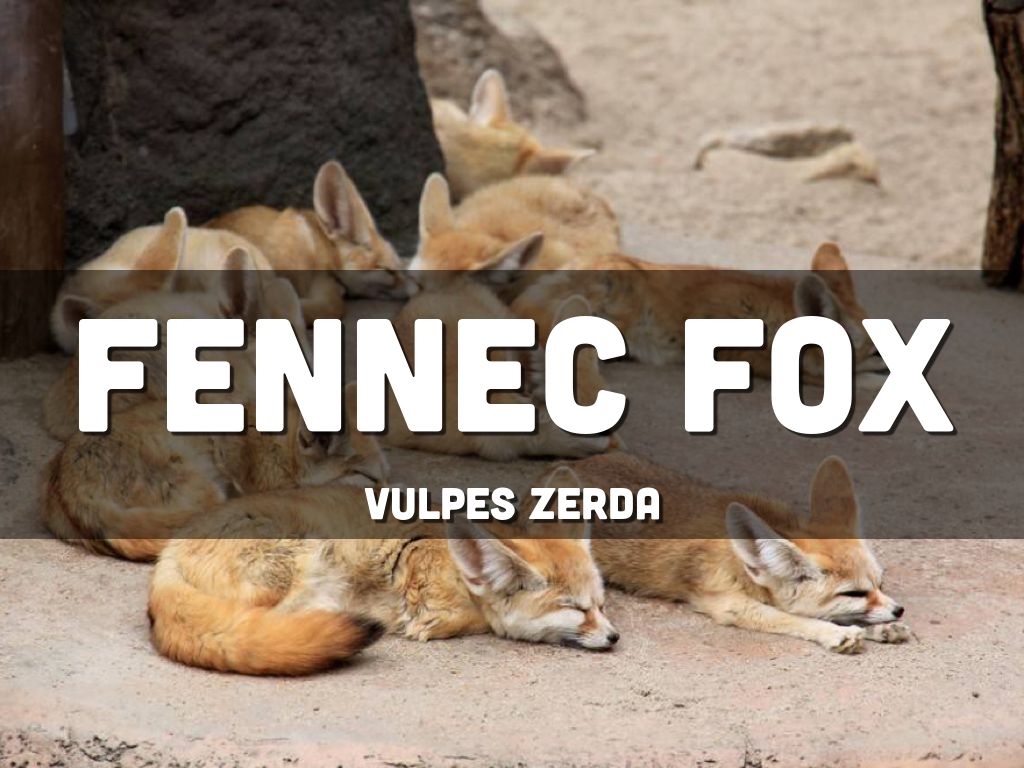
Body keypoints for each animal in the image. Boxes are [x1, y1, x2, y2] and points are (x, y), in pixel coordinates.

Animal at [148, 465, 618, 676]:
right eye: (576, 610)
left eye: (600, 605)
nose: (615, 637)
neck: (457, 570)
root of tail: (166, 558)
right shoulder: (419, 563)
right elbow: (455, 617)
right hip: (307, 555)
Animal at [558, 452, 911, 654]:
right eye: (854, 593)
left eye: (880, 584)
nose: (899, 610)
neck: (741, 561)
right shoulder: (727, 602)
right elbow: (789, 618)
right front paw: (833, 633)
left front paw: (880, 627)